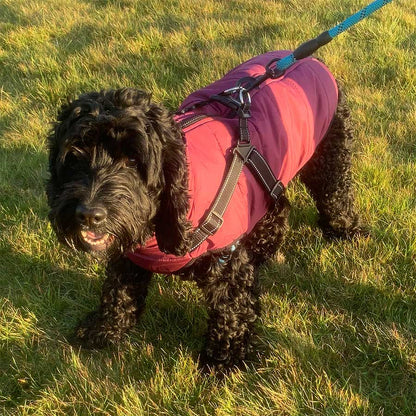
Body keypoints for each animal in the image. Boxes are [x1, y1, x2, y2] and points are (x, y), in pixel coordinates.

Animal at [47, 77, 366, 370]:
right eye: (74, 155)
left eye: (133, 160)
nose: (89, 214)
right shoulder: (129, 258)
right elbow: (118, 293)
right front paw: (104, 330)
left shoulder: (227, 264)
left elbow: (231, 313)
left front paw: (223, 362)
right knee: (277, 206)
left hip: (328, 156)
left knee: (335, 194)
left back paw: (345, 230)